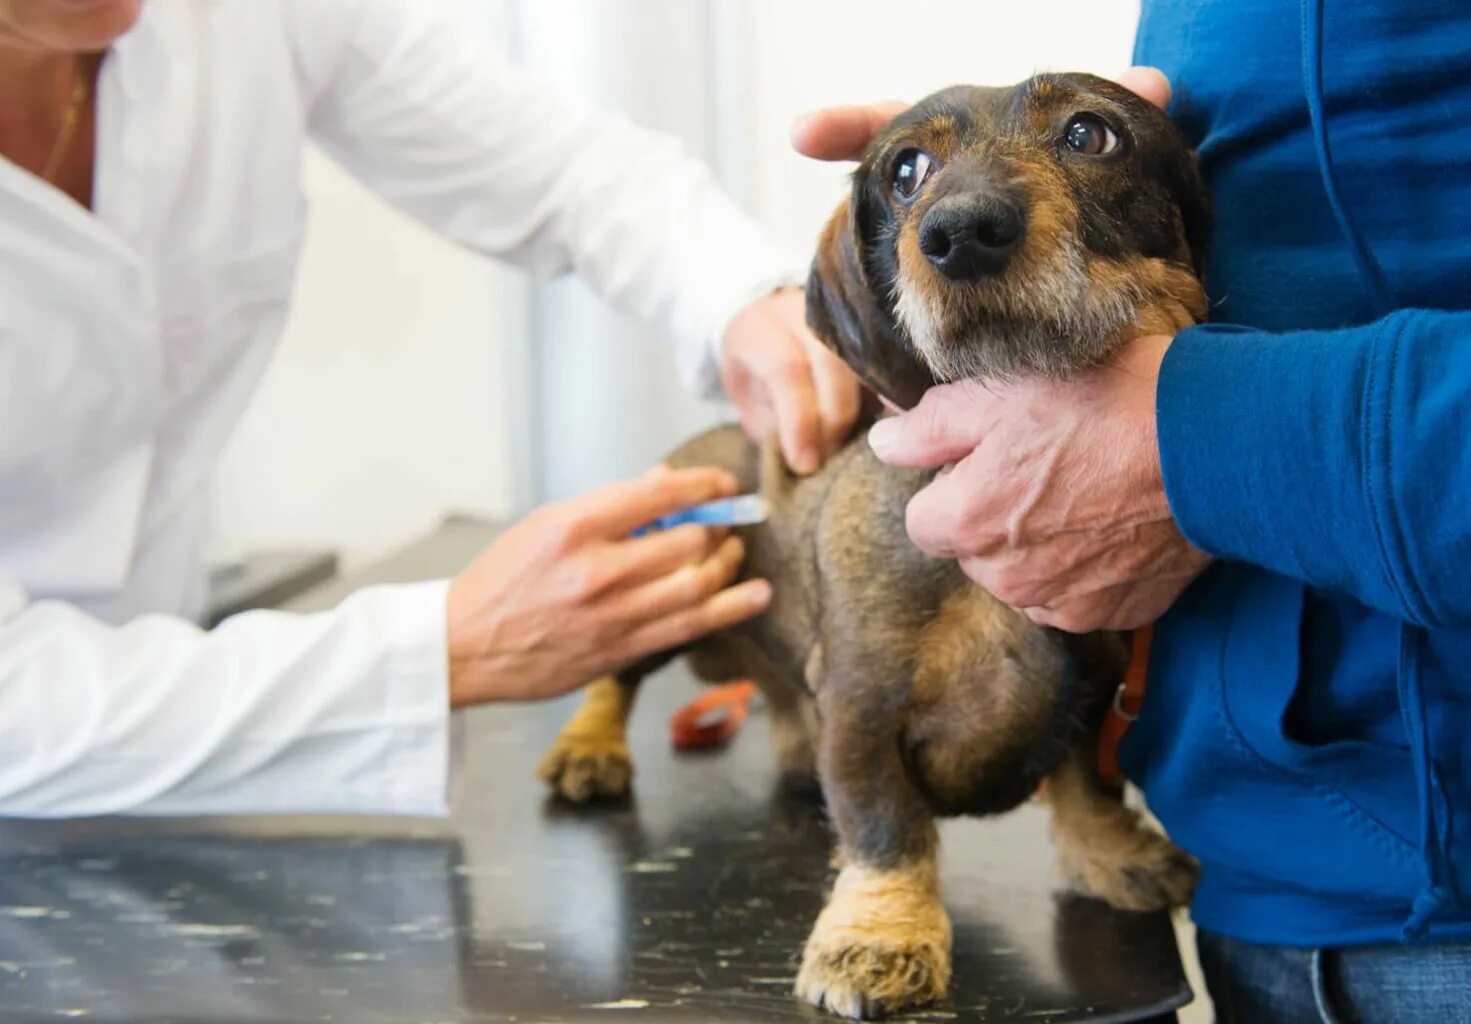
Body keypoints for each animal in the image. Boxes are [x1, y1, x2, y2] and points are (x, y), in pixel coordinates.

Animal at [538, 76, 1206, 1018]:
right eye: (906, 170)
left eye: (1089, 134)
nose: (960, 233)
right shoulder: (860, 703)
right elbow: (886, 827)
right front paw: (878, 935)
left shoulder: (1093, 688)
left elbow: (1085, 782)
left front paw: (1110, 853)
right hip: (677, 577)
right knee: (617, 673)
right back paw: (588, 748)